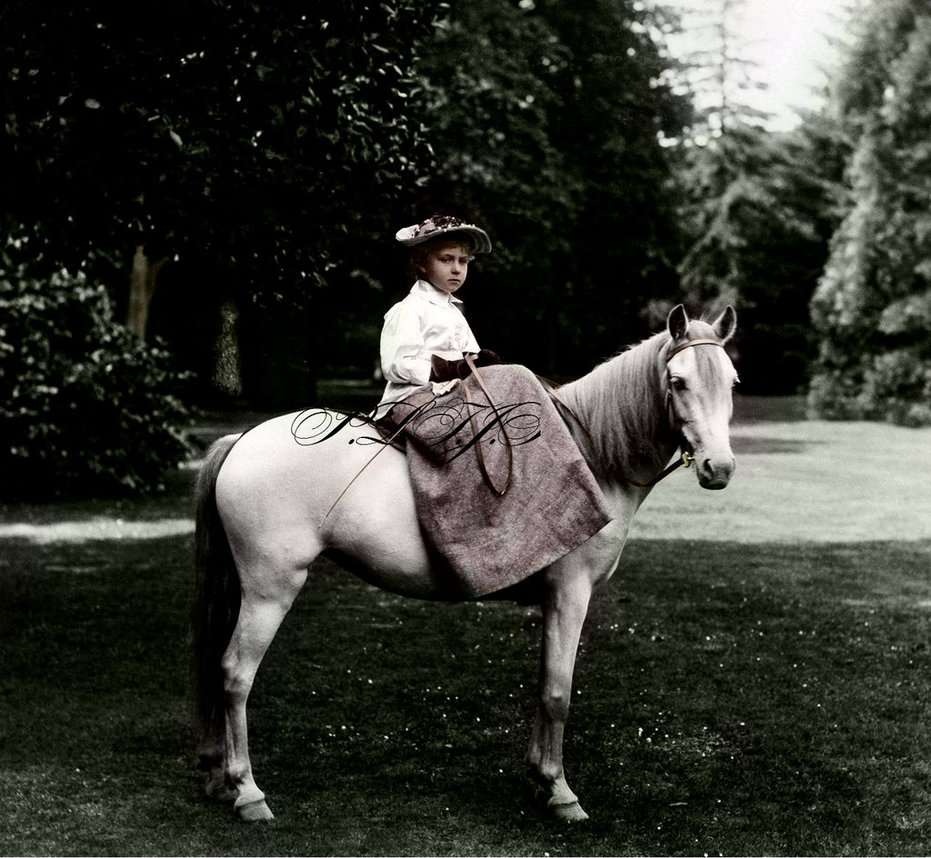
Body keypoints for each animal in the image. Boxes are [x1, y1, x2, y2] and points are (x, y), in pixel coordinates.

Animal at [193, 304, 740, 820]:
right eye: (677, 381)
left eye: (732, 381)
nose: (720, 468)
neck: (593, 458)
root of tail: (241, 442)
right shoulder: (571, 595)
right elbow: (558, 693)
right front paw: (561, 793)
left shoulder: (552, 601)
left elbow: (542, 687)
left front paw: (540, 778)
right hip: (270, 590)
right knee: (235, 674)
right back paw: (248, 792)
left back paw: (221, 780)